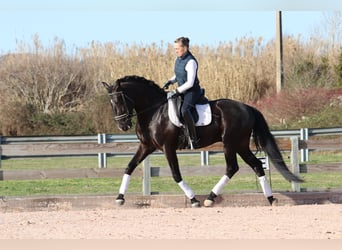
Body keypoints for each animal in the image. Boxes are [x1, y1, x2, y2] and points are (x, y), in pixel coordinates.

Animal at [103, 75, 304, 207]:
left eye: (120, 100)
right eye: (110, 103)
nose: (123, 125)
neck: (154, 112)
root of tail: (247, 107)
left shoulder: (168, 147)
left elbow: (176, 174)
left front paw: (193, 199)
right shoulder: (147, 146)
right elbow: (129, 166)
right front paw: (120, 197)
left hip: (230, 143)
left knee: (232, 167)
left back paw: (210, 197)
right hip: (240, 144)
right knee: (256, 165)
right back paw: (270, 198)